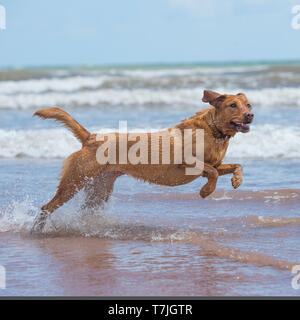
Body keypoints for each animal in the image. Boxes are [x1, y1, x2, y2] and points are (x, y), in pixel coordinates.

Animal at [31, 90, 253, 232]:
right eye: (233, 105)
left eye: (249, 104)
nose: (250, 115)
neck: (214, 131)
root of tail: (91, 137)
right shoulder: (187, 162)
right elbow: (212, 173)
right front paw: (206, 191)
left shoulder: (216, 164)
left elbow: (234, 165)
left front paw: (237, 179)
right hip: (73, 182)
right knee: (46, 207)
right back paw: (37, 230)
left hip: (99, 190)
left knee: (83, 211)